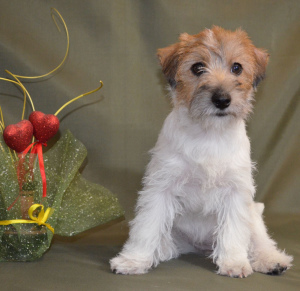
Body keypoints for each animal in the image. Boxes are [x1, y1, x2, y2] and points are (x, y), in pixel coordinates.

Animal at [110, 26, 292, 278]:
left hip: (253, 214)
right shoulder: (161, 188)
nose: (222, 100)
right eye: (197, 67)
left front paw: (234, 262)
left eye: (237, 67)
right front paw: (133, 260)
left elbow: (234, 231)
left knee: (260, 241)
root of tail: (200, 246)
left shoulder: (236, 192)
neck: (209, 134)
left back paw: (271, 260)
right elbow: (147, 227)